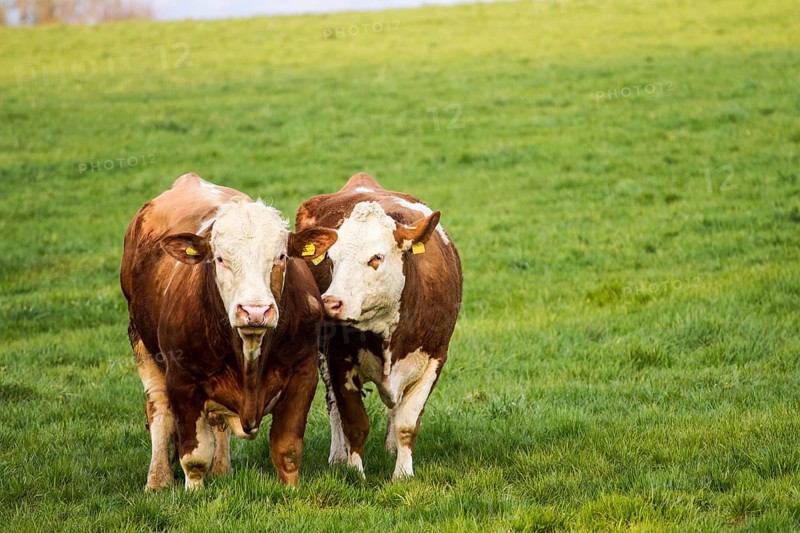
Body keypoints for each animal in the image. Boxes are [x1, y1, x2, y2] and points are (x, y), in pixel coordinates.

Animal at [120, 173, 337, 490]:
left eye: (281, 256)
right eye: (220, 259)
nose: (255, 311)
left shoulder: (303, 373)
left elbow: (287, 449)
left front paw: (291, 489)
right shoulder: (182, 380)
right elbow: (194, 454)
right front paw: (194, 492)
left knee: (217, 422)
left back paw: (222, 469)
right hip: (140, 341)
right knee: (159, 411)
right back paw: (158, 479)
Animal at [295, 172, 463, 479]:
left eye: (376, 258)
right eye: (331, 259)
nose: (331, 302)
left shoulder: (435, 359)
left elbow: (407, 423)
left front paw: (403, 473)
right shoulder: (338, 358)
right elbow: (354, 422)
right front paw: (354, 472)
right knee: (332, 405)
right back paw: (337, 455)